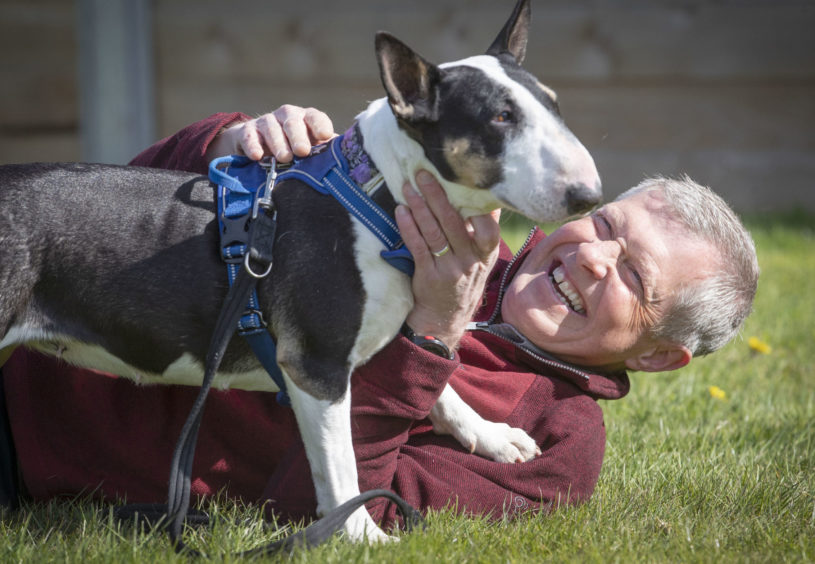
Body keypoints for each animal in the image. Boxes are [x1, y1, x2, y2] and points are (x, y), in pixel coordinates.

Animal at [0, 1, 600, 548]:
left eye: (554, 105)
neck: (376, 195)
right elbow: (342, 469)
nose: (588, 196)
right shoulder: (317, 367)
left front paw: (493, 436)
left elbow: (437, 381)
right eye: (500, 118)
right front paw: (363, 538)